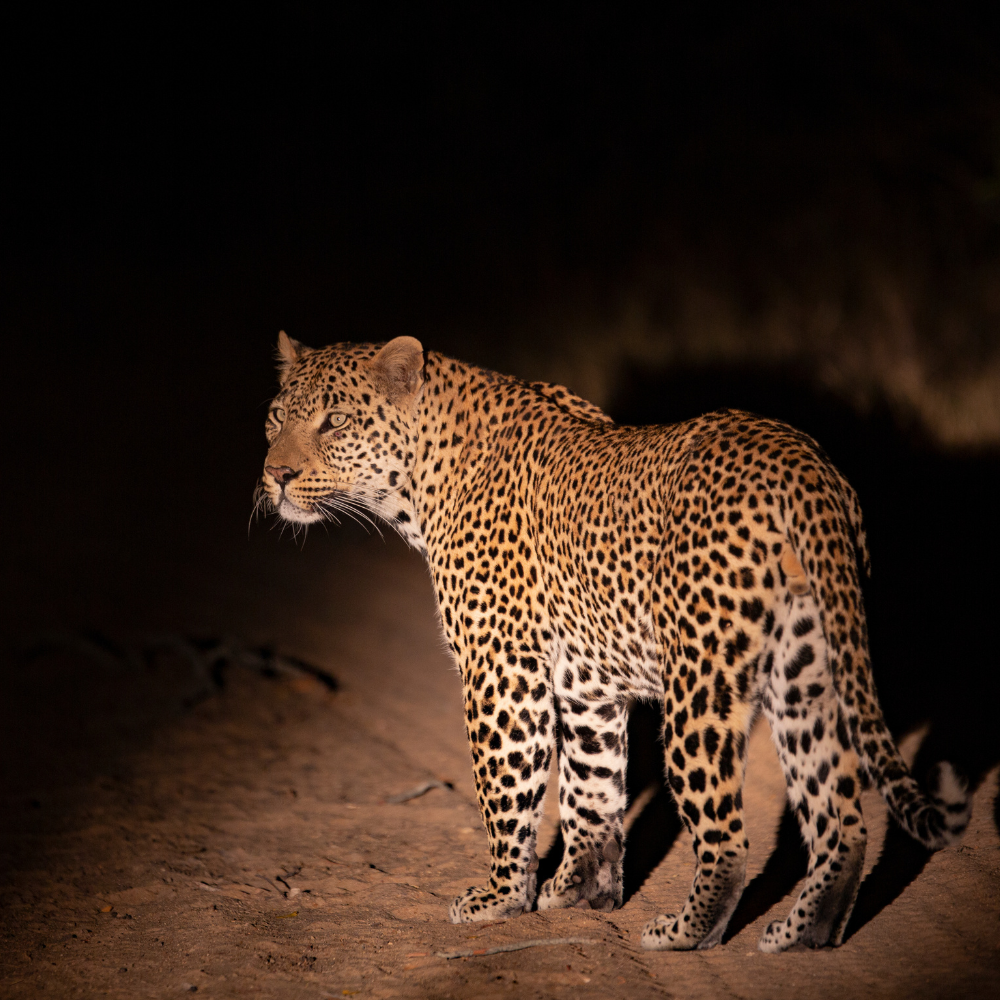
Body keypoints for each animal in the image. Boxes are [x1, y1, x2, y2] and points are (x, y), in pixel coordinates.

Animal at [258, 332, 971, 952]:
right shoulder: (586, 684)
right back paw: (802, 934)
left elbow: (506, 789)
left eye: (334, 422)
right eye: (274, 418)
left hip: (700, 687)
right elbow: (592, 787)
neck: (420, 483)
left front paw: (500, 897)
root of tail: (803, 465)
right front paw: (580, 890)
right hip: (808, 674)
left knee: (728, 839)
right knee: (842, 816)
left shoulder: (502, 671)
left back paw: (685, 933)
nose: (277, 474)